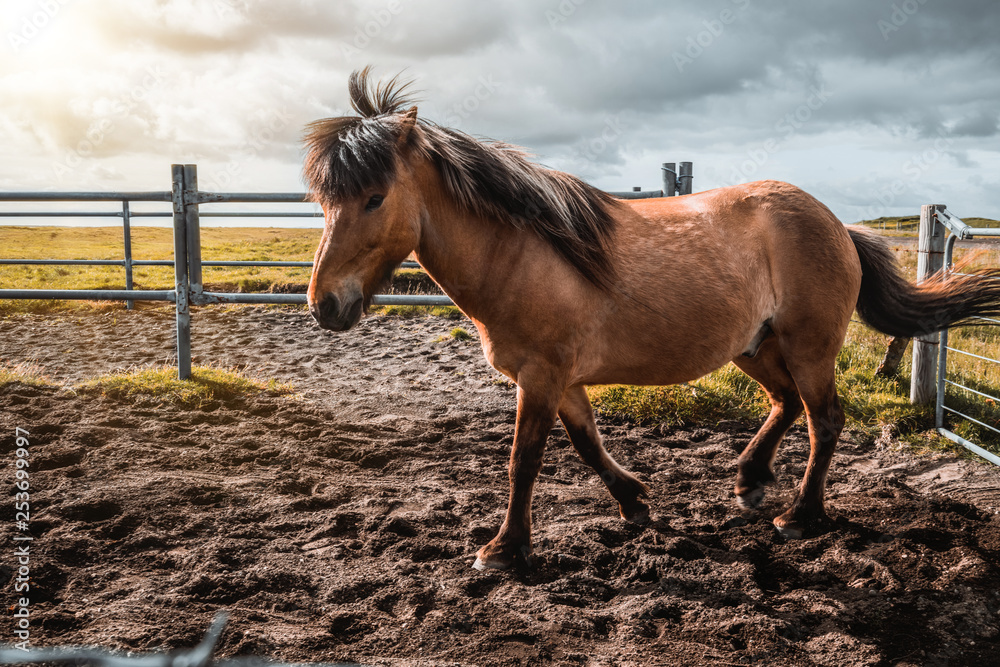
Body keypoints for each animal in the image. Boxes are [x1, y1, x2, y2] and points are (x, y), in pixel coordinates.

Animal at [300, 68, 1000, 572]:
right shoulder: (561, 380)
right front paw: (634, 501)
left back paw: (799, 516)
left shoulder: (541, 376)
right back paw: (749, 481)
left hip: (810, 347)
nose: (324, 305)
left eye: (375, 197)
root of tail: (836, 224)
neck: (522, 253)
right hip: (755, 347)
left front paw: (504, 550)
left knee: (824, 419)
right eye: (325, 200)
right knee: (785, 404)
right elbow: (587, 442)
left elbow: (525, 458)